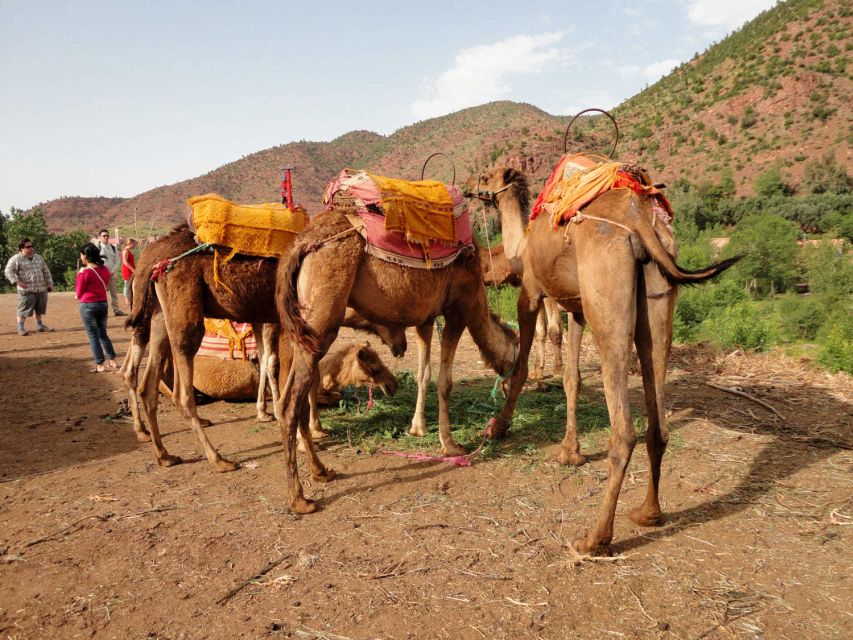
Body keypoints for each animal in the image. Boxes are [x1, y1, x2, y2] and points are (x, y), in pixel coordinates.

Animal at [278, 208, 518, 514]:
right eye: (516, 353)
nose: (509, 387)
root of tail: (299, 245)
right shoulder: (458, 308)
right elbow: (445, 381)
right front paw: (451, 445)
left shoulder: (425, 318)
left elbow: (423, 374)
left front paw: (417, 428)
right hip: (321, 318)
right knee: (290, 403)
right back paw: (300, 499)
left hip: (303, 328)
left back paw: (322, 471)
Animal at [468, 166, 738, 556]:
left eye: (487, 176)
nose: (469, 188)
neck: (521, 245)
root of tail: (638, 217)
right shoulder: (577, 307)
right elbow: (572, 378)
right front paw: (570, 451)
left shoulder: (532, 289)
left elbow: (524, 361)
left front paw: (499, 425)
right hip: (657, 293)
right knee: (657, 408)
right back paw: (648, 513)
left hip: (606, 292)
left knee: (624, 430)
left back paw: (595, 538)